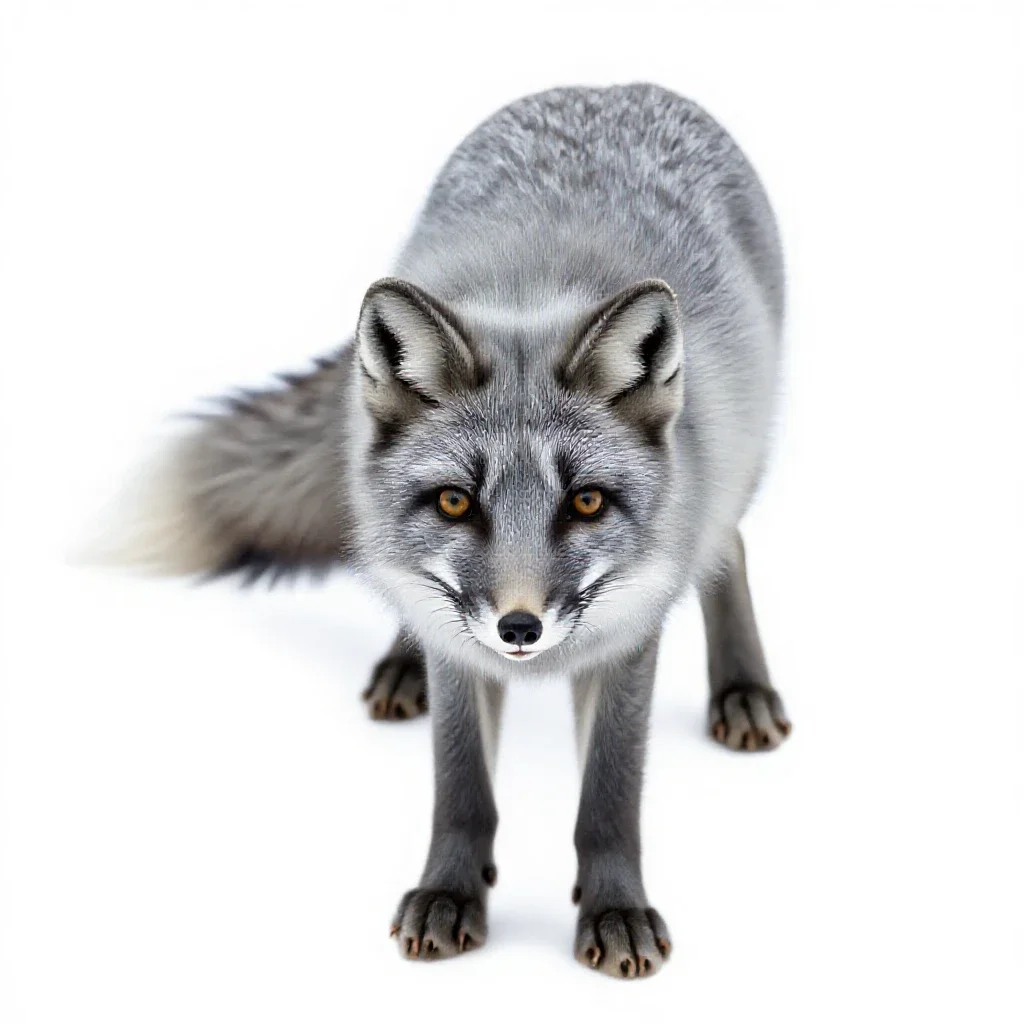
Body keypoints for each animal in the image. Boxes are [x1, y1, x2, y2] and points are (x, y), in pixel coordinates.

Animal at [91, 83, 791, 979]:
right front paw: (451, 891)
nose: (520, 628)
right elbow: (460, 787)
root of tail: (612, 87)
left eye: (586, 503)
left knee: (727, 545)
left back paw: (743, 687)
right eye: (457, 503)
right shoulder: (460, 643)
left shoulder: (631, 637)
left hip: (736, 463)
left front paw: (613, 908)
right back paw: (400, 665)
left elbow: (608, 796)